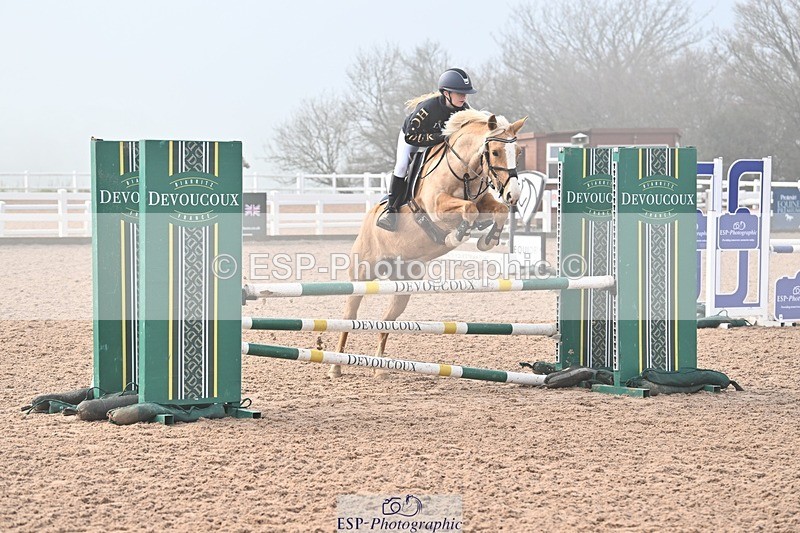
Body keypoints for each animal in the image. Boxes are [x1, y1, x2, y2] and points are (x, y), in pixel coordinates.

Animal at [329, 109, 527, 378]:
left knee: (386, 321)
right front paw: (457, 235)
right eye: (495, 152)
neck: (463, 169)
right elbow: (469, 209)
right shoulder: (436, 206)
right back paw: (336, 366)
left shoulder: (485, 200)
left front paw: (488, 239)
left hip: (403, 287)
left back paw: (380, 368)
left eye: (518, 151)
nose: (513, 194)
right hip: (362, 274)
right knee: (349, 315)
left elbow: (496, 210)